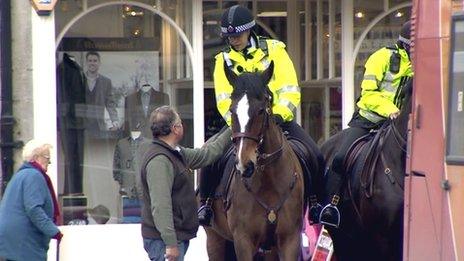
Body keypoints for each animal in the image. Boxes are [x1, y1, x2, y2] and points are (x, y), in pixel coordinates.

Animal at [204, 61, 308, 260]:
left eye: (261, 110)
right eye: (232, 110)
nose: (244, 164)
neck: (268, 180)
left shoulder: (290, 240)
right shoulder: (243, 241)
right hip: (214, 239)